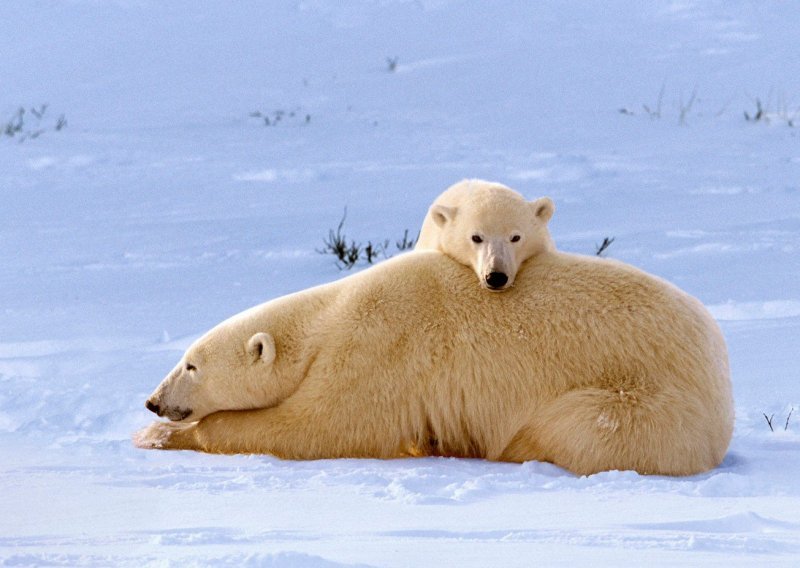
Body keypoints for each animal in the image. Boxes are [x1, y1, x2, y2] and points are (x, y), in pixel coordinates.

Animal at [134, 248, 736, 474]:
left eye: (191, 365)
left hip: (644, 398)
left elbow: (321, 426)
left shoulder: (380, 345)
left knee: (578, 426)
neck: (330, 318)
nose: (154, 402)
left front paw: (161, 438)